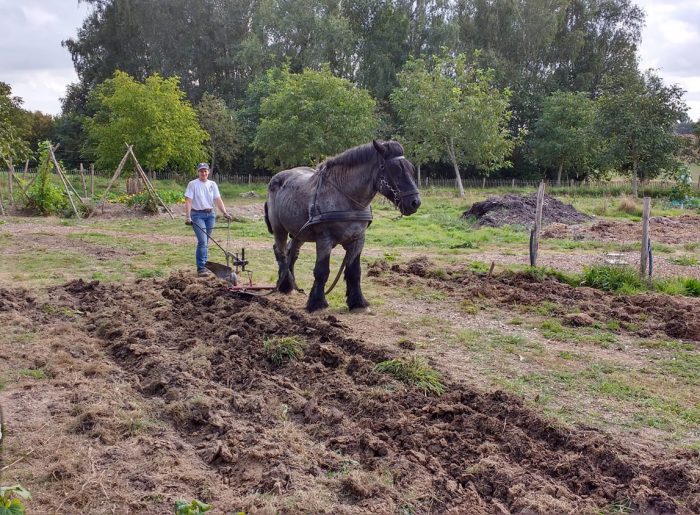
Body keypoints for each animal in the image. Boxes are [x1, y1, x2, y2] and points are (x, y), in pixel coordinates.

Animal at [264, 139, 422, 312]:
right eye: (395, 170)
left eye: (411, 168)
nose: (415, 202)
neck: (346, 198)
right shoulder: (324, 239)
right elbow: (321, 271)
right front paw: (317, 302)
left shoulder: (358, 239)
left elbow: (354, 271)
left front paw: (357, 301)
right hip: (280, 229)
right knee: (281, 252)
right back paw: (284, 285)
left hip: (299, 233)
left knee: (291, 252)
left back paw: (290, 284)